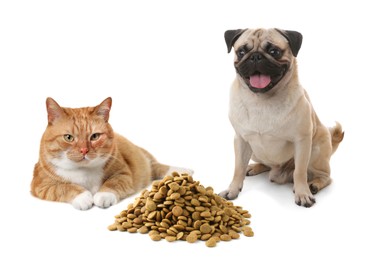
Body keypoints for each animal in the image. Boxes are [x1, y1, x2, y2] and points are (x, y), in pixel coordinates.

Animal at [30, 96, 193, 210]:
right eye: (68, 137)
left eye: (95, 136)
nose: (84, 150)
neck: (83, 171)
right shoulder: (41, 185)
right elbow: (64, 187)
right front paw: (83, 197)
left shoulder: (124, 173)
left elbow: (113, 182)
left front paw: (103, 195)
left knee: (156, 166)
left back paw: (182, 171)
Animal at [217, 27, 344, 207]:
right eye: (242, 52)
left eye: (274, 51)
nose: (255, 56)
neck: (261, 100)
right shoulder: (240, 140)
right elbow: (238, 169)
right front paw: (232, 189)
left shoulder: (302, 141)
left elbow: (300, 172)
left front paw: (303, 193)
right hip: (255, 151)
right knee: (265, 164)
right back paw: (254, 167)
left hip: (316, 150)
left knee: (324, 176)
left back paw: (314, 185)